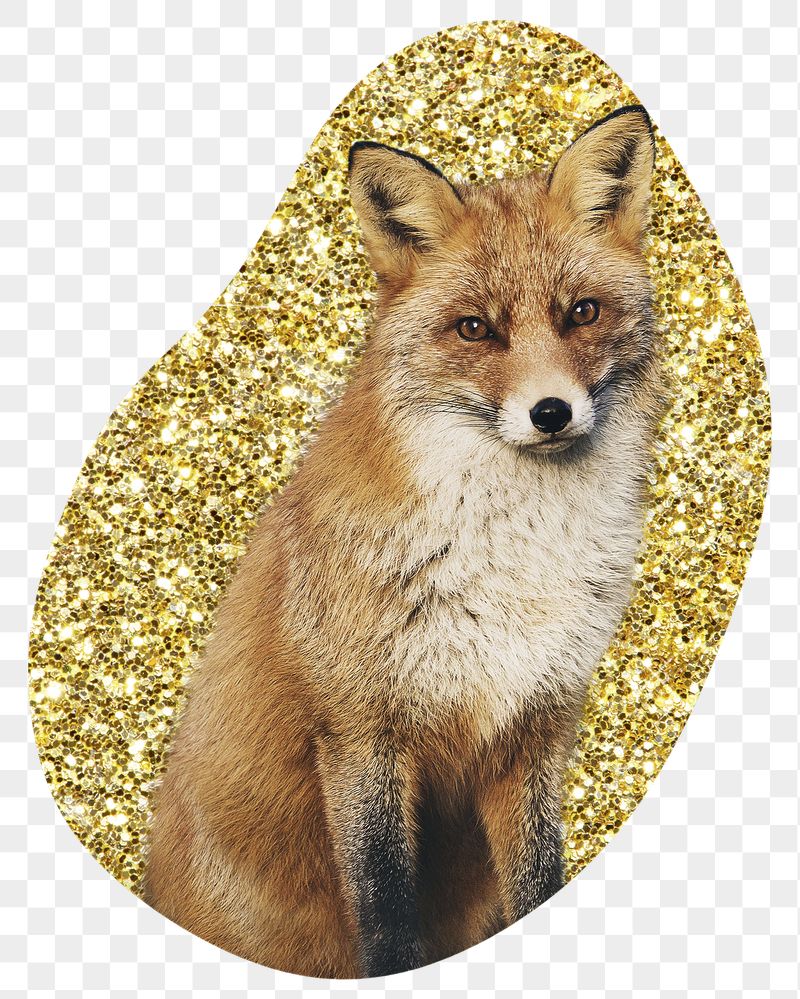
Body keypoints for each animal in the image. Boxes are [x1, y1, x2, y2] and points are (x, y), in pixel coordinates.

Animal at [142, 105, 664, 978]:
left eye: (581, 313)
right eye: (475, 329)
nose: (551, 412)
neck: (513, 563)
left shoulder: (534, 729)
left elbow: (540, 882)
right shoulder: (361, 733)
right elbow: (387, 915)